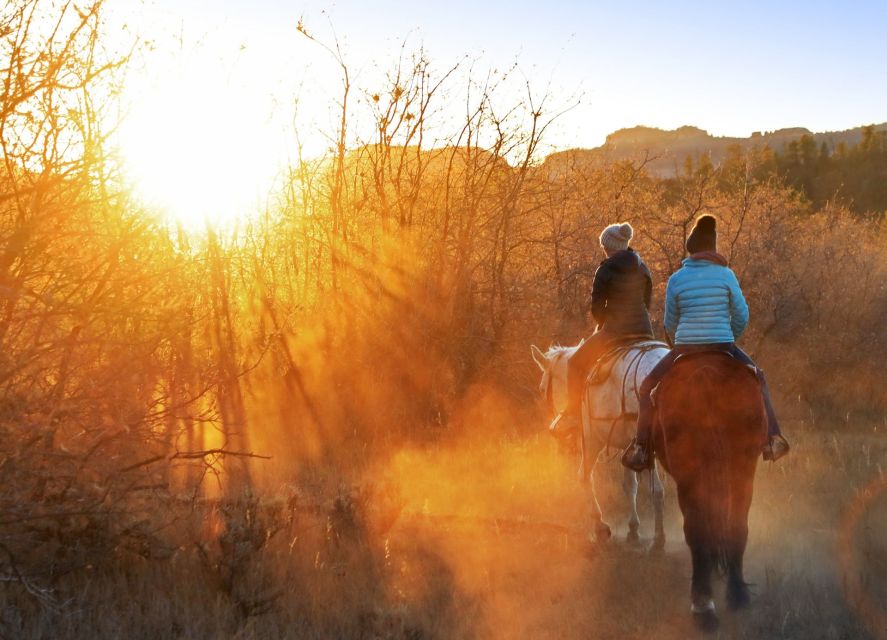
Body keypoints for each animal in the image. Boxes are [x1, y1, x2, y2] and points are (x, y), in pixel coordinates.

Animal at [532, 342, 668, 548]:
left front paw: (600, 525)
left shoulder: (591, 439)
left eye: (541, 389)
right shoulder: (627, 444)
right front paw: (633, 528)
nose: (556, 429)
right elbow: (630, 484)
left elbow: (584, 476)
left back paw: (659, 537)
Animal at [652, 350, 772, 632]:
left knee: (697, 530)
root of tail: (705, 374)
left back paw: (703, 604)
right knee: (735, 524)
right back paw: (736, 594)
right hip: (742, 466)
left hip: (691, 474)